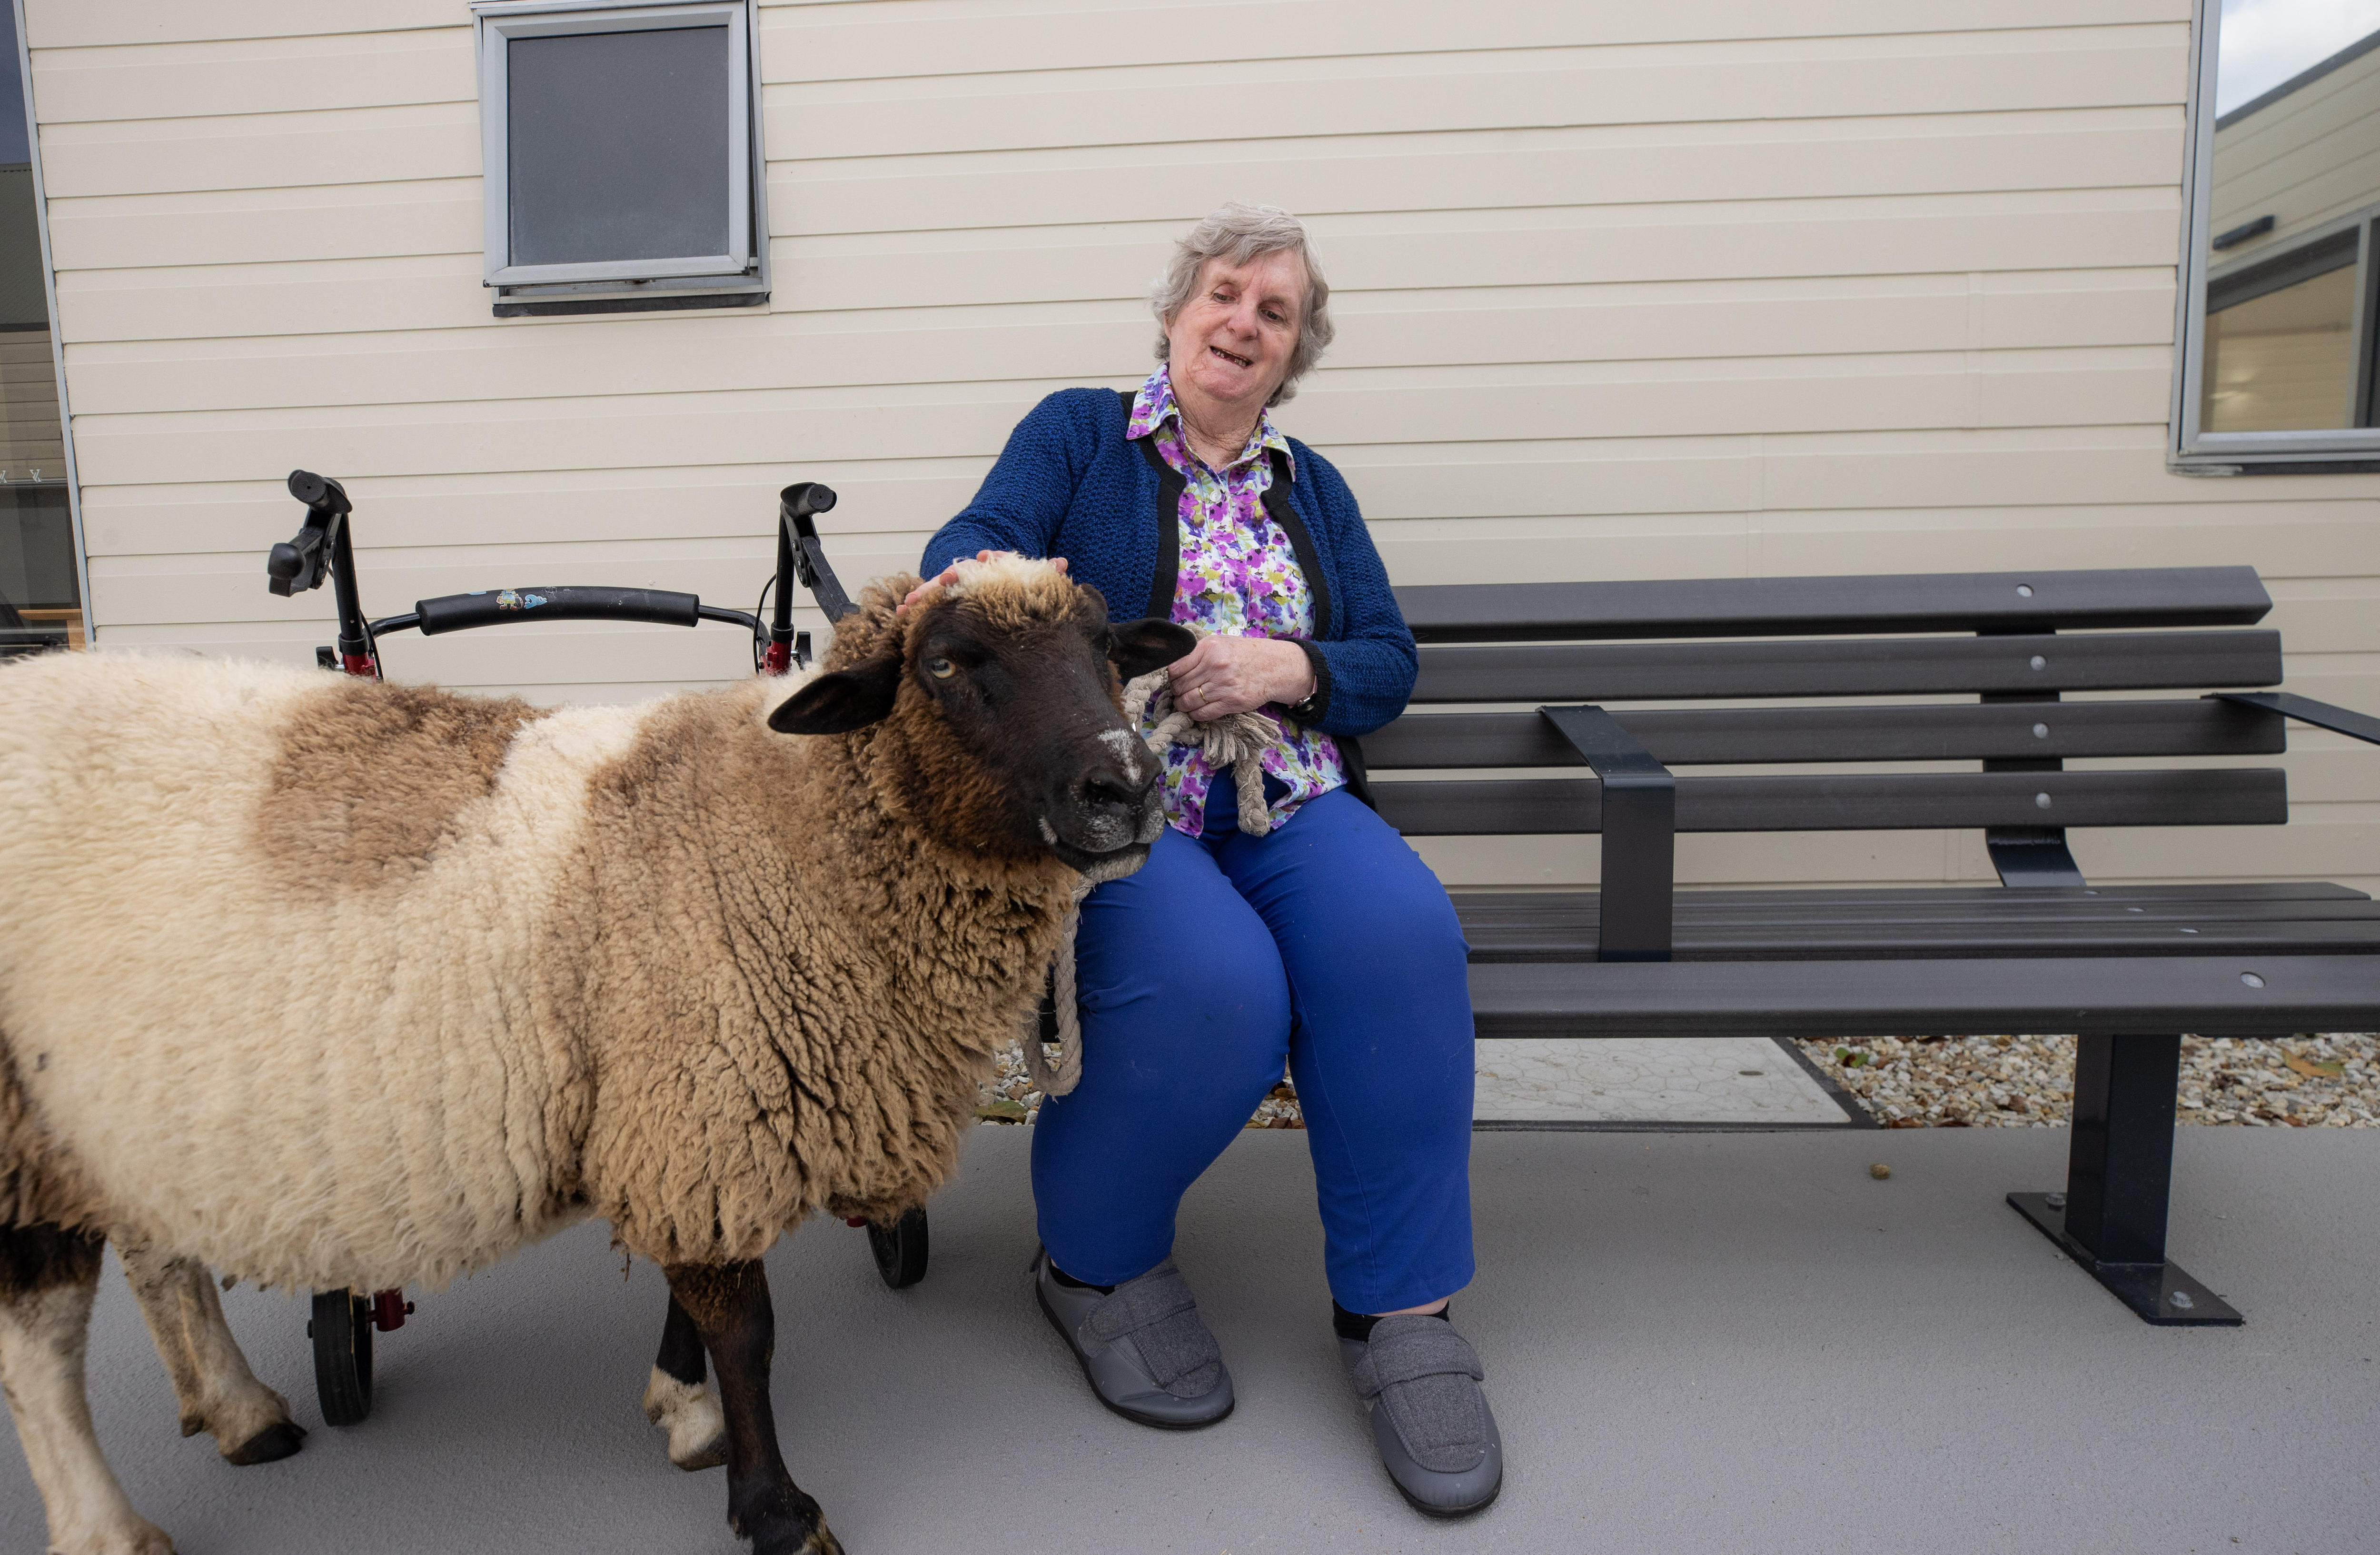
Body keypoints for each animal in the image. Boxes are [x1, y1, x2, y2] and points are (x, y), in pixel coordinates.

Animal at [0, 556, 1194, 1555]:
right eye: (945, 663)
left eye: (1105, 644)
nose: (1128, 788)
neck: (778, 828)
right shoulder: (698, 1098)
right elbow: (748, 1328)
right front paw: (777, 1511)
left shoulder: (679, 1110)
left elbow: (694, 1300)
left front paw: (686, 1411)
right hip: (24, 1117)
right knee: (41, 1348)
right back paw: (110, 1529)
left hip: (119, 1093)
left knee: (157, 1252)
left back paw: (238, 1410)